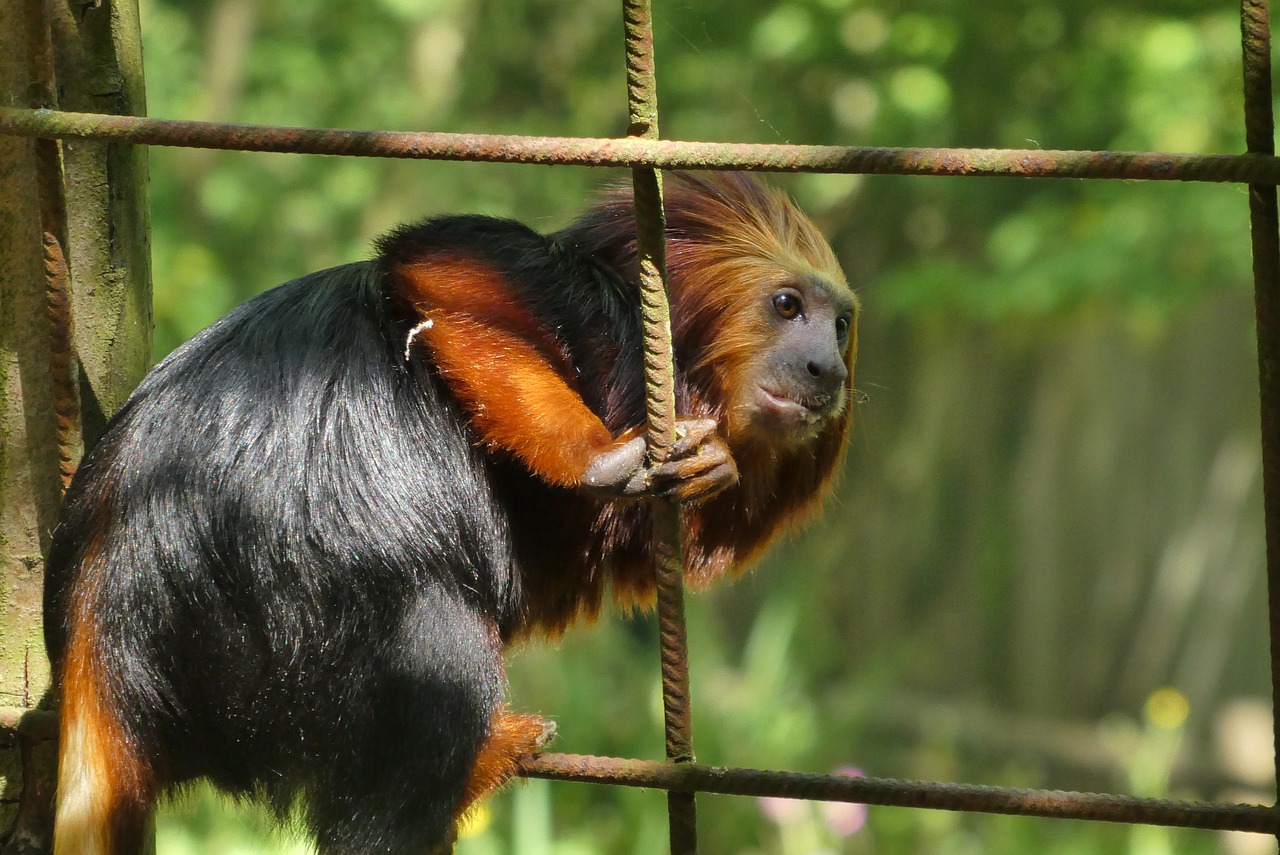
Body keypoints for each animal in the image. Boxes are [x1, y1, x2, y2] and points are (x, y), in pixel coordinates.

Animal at [42, 171, 860, 855]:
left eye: (840, 326)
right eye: (788, 307)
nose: (826, 368)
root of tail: (102, 612)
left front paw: (713, 464)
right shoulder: (578, 298)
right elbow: (437, 274)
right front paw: (593, 456)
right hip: (258, 612)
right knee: (432, 638)